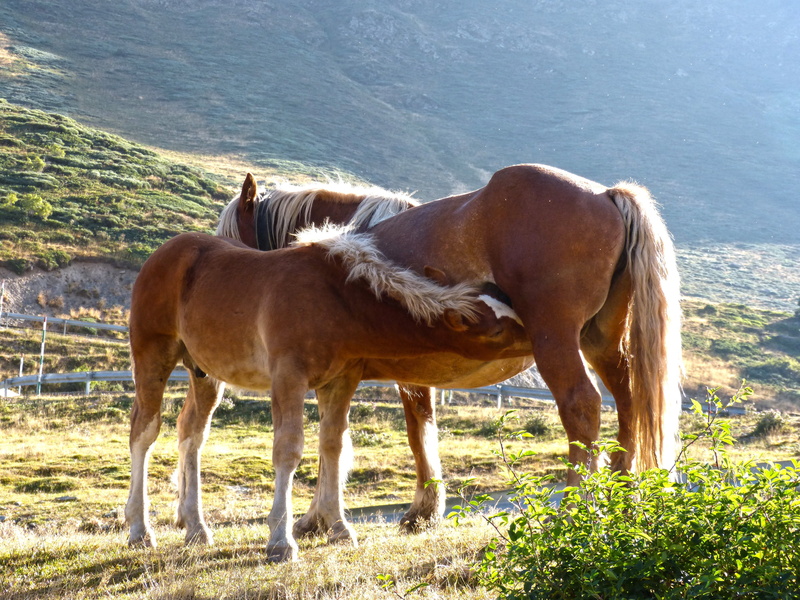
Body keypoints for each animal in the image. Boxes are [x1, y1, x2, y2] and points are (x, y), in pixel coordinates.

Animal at [126, 230, 530, 561]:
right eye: (497, 331)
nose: (533, 338)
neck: (334, 300)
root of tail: (163, 253)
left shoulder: (341, 380)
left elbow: (332, 446)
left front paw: (339, 528)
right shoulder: (288, 378)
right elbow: (288, 450)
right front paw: (280, 541)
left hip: (205, 372)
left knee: (191, 433)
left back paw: (195, 528)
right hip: (152, 354)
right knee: (144, 431)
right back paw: (139, 530)